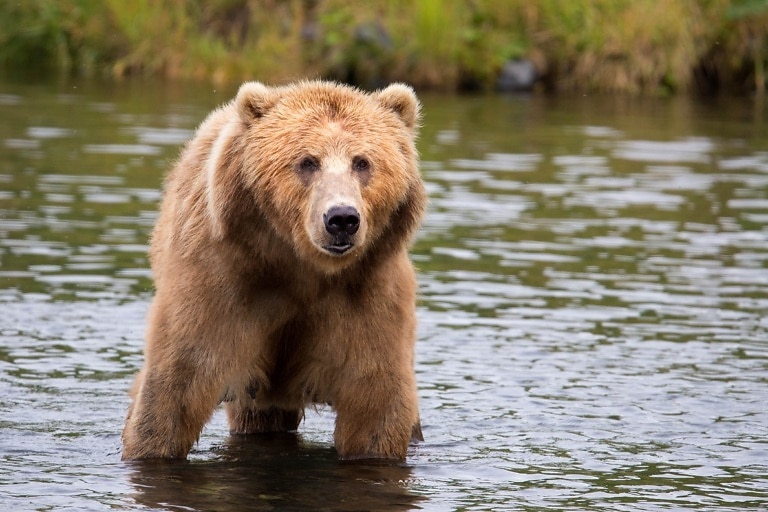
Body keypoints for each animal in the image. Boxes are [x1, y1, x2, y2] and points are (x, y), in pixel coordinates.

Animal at [123, 80, 428, 460]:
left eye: (362, 162)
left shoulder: (367, 293)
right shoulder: (221, 281)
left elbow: (375, 400)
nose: (342, 218)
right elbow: (177, 382)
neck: (301, 267)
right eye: (307, 162)